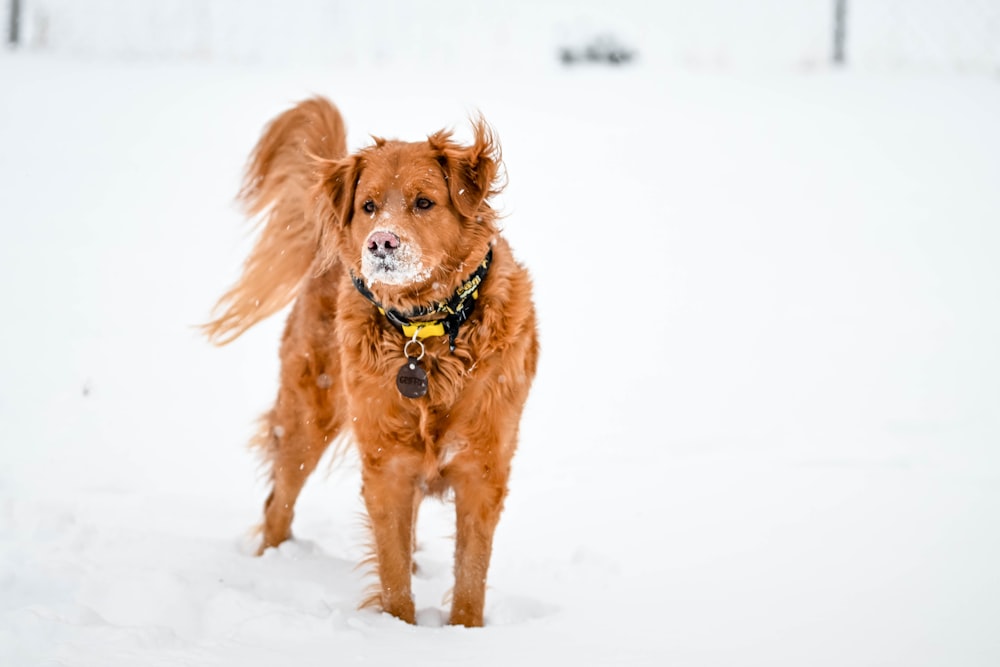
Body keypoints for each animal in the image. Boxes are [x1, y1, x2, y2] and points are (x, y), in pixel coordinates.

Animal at [205, 98, 540, 628]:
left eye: (424, 203)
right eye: (368, 206)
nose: (381, 242)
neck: (424, 332)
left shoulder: (483, 468)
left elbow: (470, 574)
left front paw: (464, 631)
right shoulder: (387, 466)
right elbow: (392, 570)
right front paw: (398, 629)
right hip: (307, 418)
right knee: (278, 502)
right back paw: (271, 563)